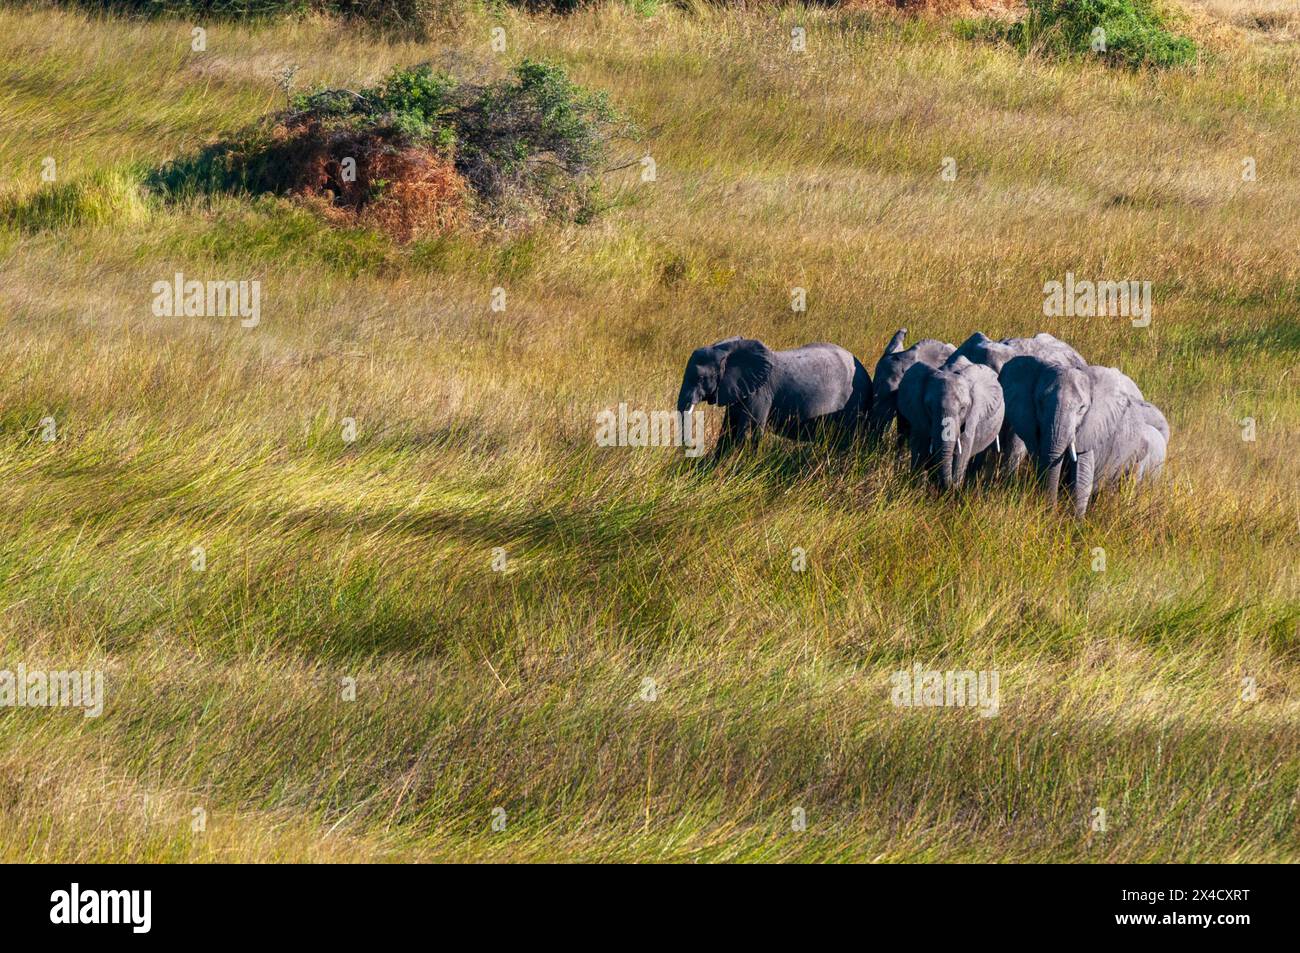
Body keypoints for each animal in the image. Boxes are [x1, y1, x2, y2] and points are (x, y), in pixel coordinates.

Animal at [676, 335, 868, 455]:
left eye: (700, 378)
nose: (693, 446)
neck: (728, 350)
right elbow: (729, 428)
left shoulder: (761, 393)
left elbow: (748, 431)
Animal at [894, 356, 1003, 491]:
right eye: (929, 407)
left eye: (963, 408)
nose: (947, 486)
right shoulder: (918, 414)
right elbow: (919, 448)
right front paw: (916, 489)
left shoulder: (973, 415)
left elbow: (962, 452)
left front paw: (953, 491)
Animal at [998, 356, 1175, 517]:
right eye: (1040, 403)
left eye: (1082, 409)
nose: (1050, 512)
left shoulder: (1092, 430)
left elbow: (1082, 475)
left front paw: (1074, 524)